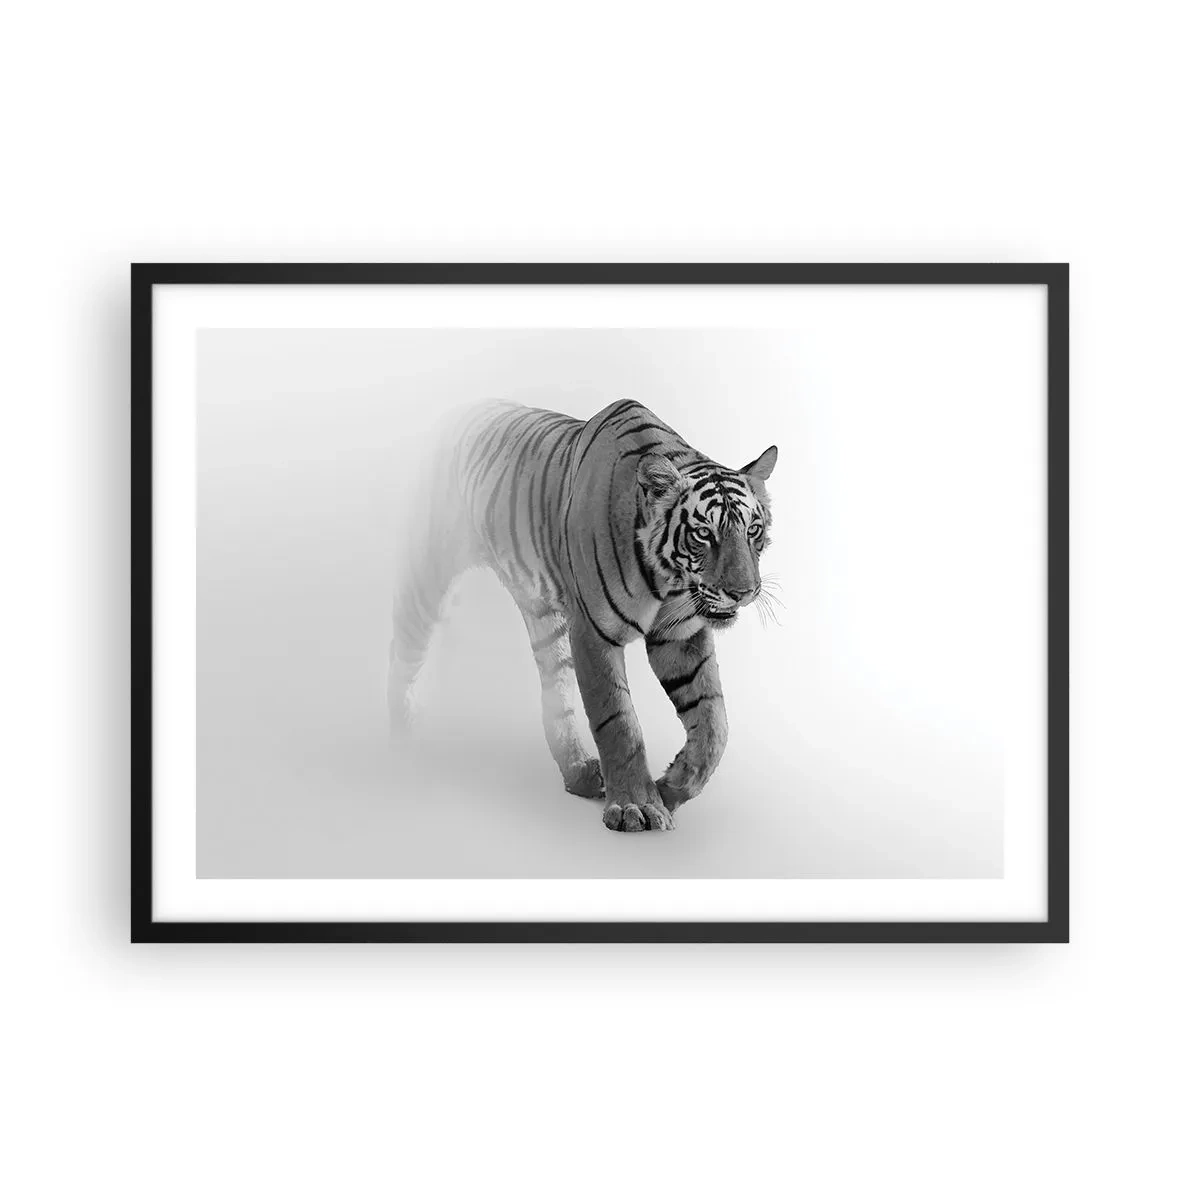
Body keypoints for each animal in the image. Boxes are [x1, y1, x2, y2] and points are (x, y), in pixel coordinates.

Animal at [387, 397, 777, 832]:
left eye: (753, 530)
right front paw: (637, 806)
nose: (743, 593)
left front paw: (672, 788)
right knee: (403, 645)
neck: (667, 579)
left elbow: (714, 722)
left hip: (545, 619)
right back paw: (398, 732)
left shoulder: (679, 634)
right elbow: (619, 721)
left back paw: (578, 773)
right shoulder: (593, 632)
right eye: (704, 533)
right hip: (429, 568)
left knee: (555, 695)